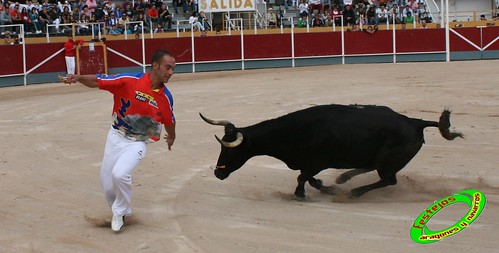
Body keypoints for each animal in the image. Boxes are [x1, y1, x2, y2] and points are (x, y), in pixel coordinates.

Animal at [200, 105, 464, 200]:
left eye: (229, 152)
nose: (217, 174)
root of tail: (415, 122)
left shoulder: (316, 161)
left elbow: (302, 177)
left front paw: (299, 195)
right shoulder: (308, 163)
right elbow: (308, 178)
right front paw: (326, 187)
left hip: (388, 161)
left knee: (388, 180)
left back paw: (354, 191)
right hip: (379, 158)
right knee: (374, 171)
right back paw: (343, 179)